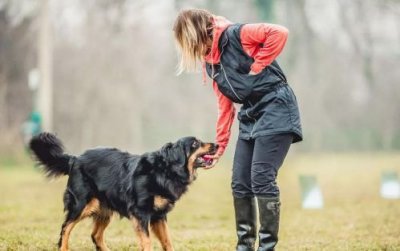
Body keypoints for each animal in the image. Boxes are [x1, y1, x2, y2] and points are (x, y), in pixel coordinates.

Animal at [29, 132, 217, 250]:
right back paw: (64, 248)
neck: (165, 169)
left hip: (104, 208)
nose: (217, 144)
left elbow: (167, 242)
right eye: (195, 143)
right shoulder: (140, 212)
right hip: (82, 204)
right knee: (65, 227)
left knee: (95, 235)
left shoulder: (159, 215)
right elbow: (147, 241)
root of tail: (75, 159)